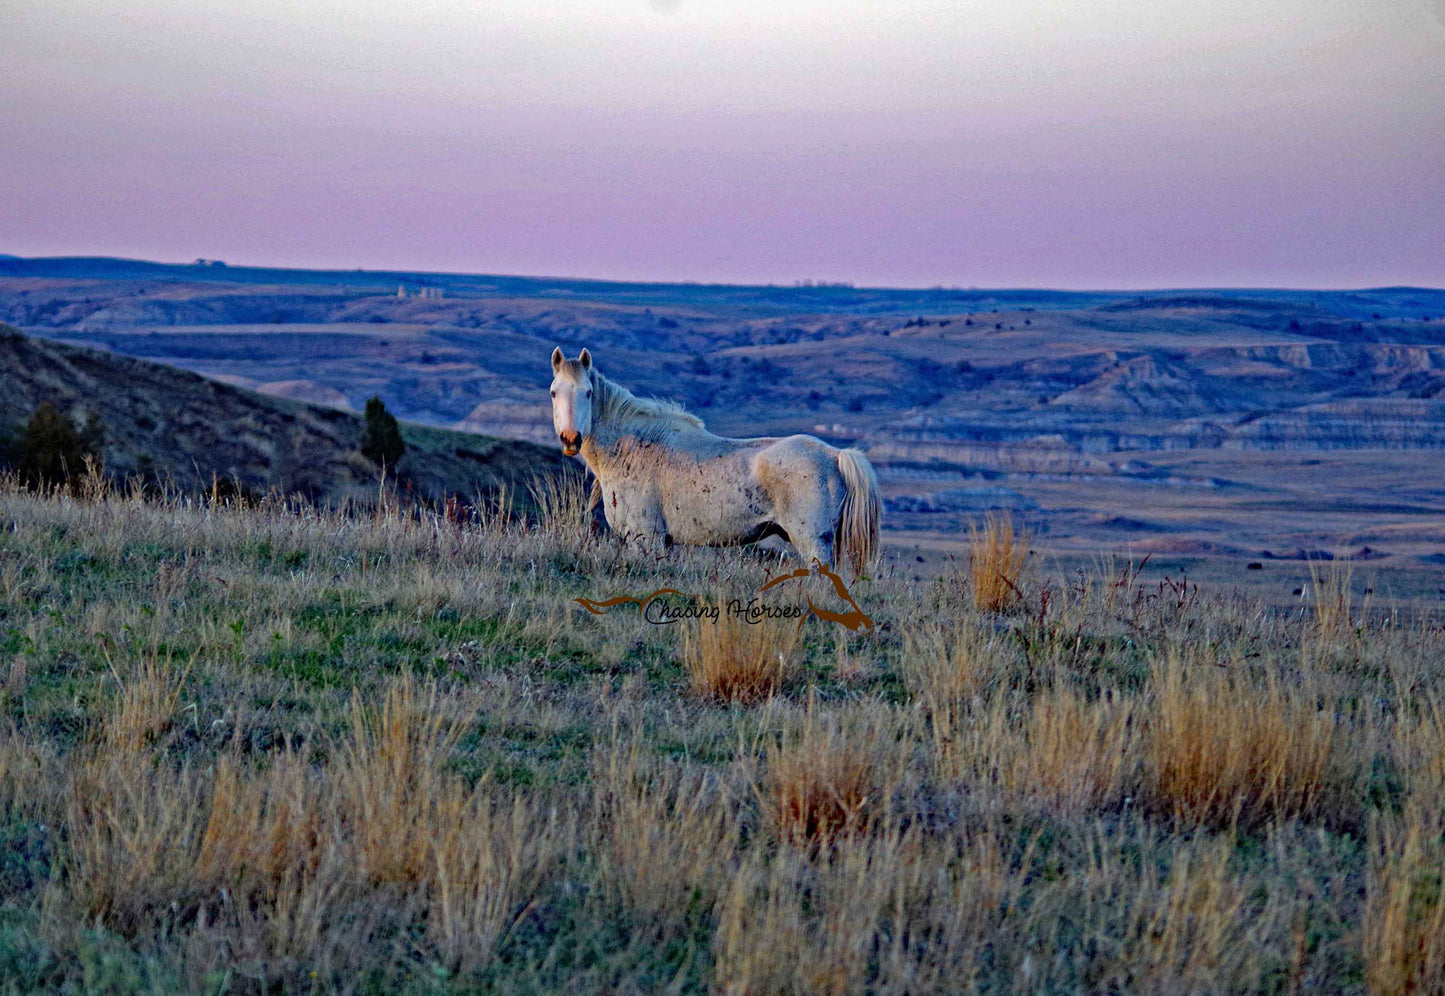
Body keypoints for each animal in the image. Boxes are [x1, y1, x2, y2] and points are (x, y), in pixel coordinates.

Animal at [548, 347, 882, 576]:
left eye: (588, 392)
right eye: (554, 392)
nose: (571, 438)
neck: (632, 447)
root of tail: (836, 455)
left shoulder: (646, 538)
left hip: (812, 542)